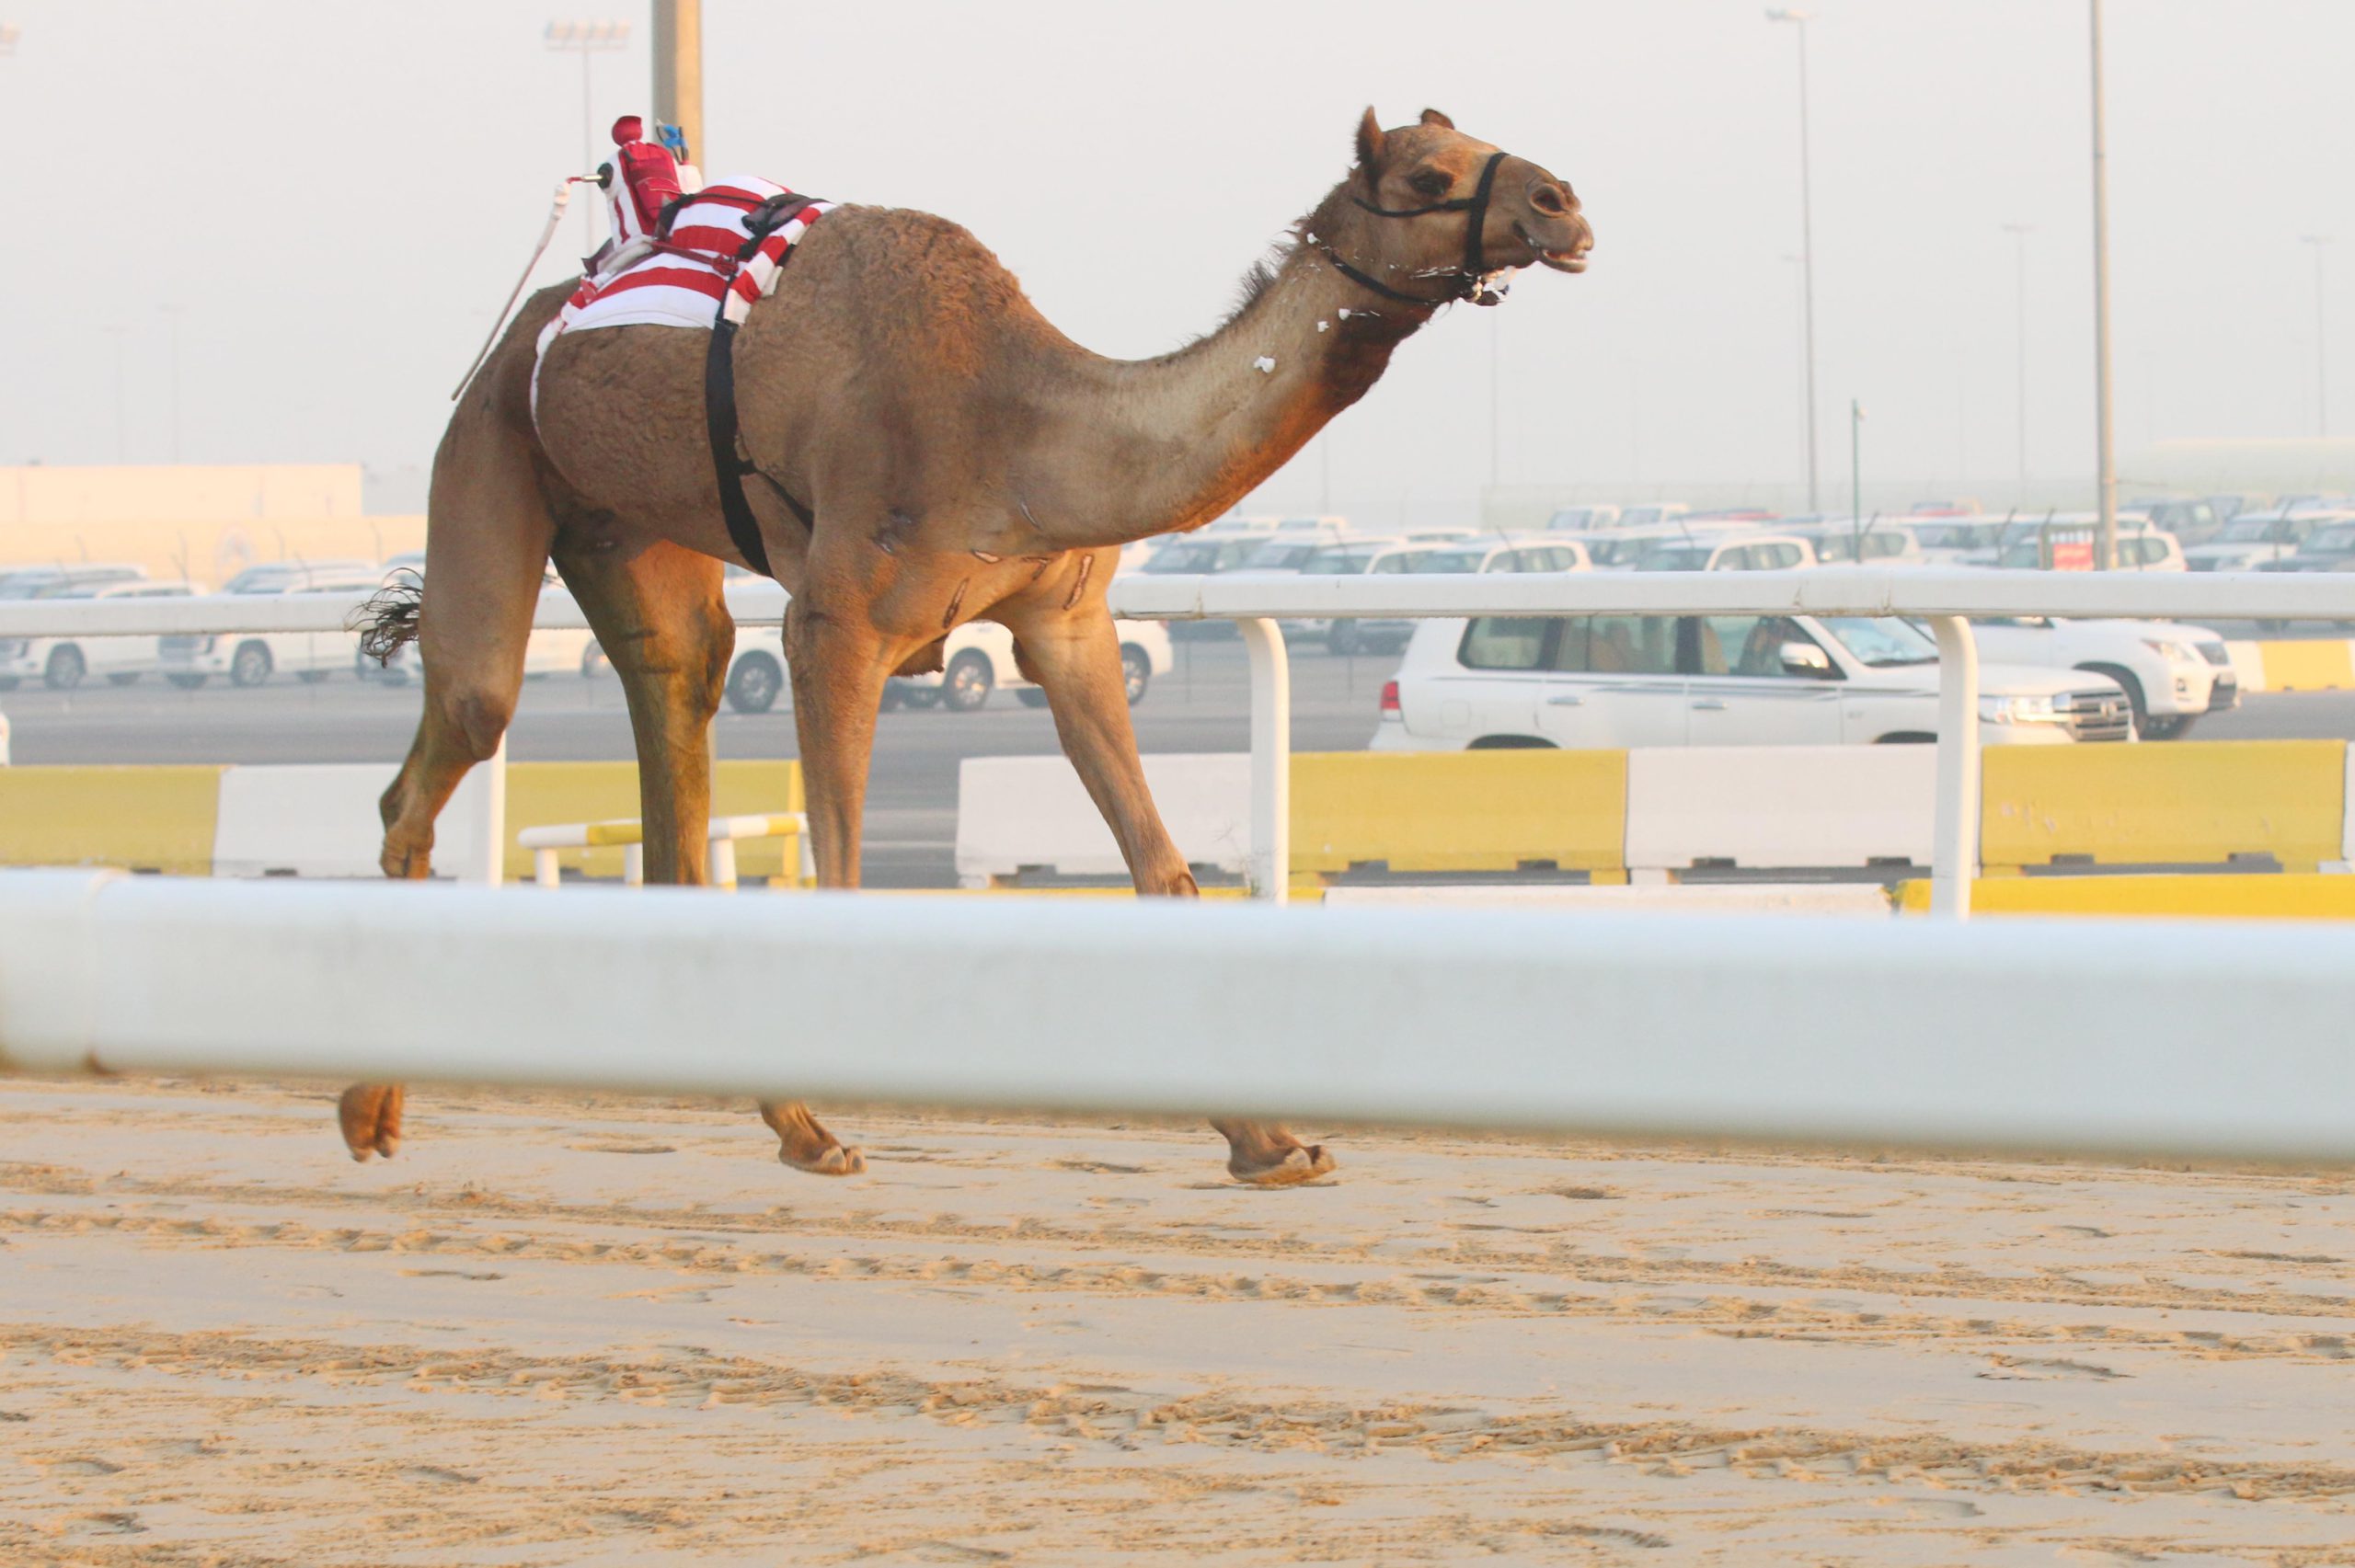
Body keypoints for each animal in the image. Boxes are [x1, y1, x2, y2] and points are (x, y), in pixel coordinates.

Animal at [341, 109, 1591, 1177]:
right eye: (1425, 176)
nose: (1562, 201)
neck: (1017, 427)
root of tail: (535, 325)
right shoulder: (835, 625)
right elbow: (841, 870)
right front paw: (829, 1121)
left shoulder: (1066, 621)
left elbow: (1164, 870)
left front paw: (1270, 1141)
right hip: (492, 444)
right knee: (463, 721)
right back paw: (370, 1110)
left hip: (624, 525)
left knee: (676, 696)